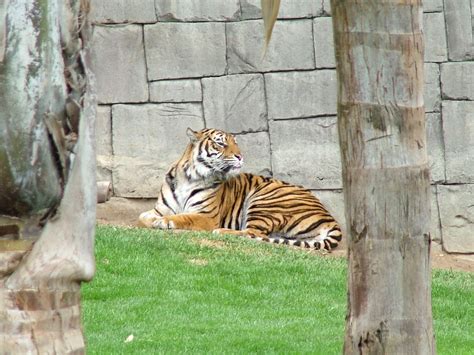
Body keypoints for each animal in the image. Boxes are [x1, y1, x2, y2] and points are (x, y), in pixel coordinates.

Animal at [139, 127, 342, 250]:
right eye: (221, 143)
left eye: (235, 143)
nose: (240, 156)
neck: (189, 177)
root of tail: (330, 218)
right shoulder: (160, 208)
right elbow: (142, 217)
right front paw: (152, 221)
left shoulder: (207, 216)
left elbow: (184, 217)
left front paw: (164, 222)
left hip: (264, 200)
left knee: (253, 233)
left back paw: (222, 232)